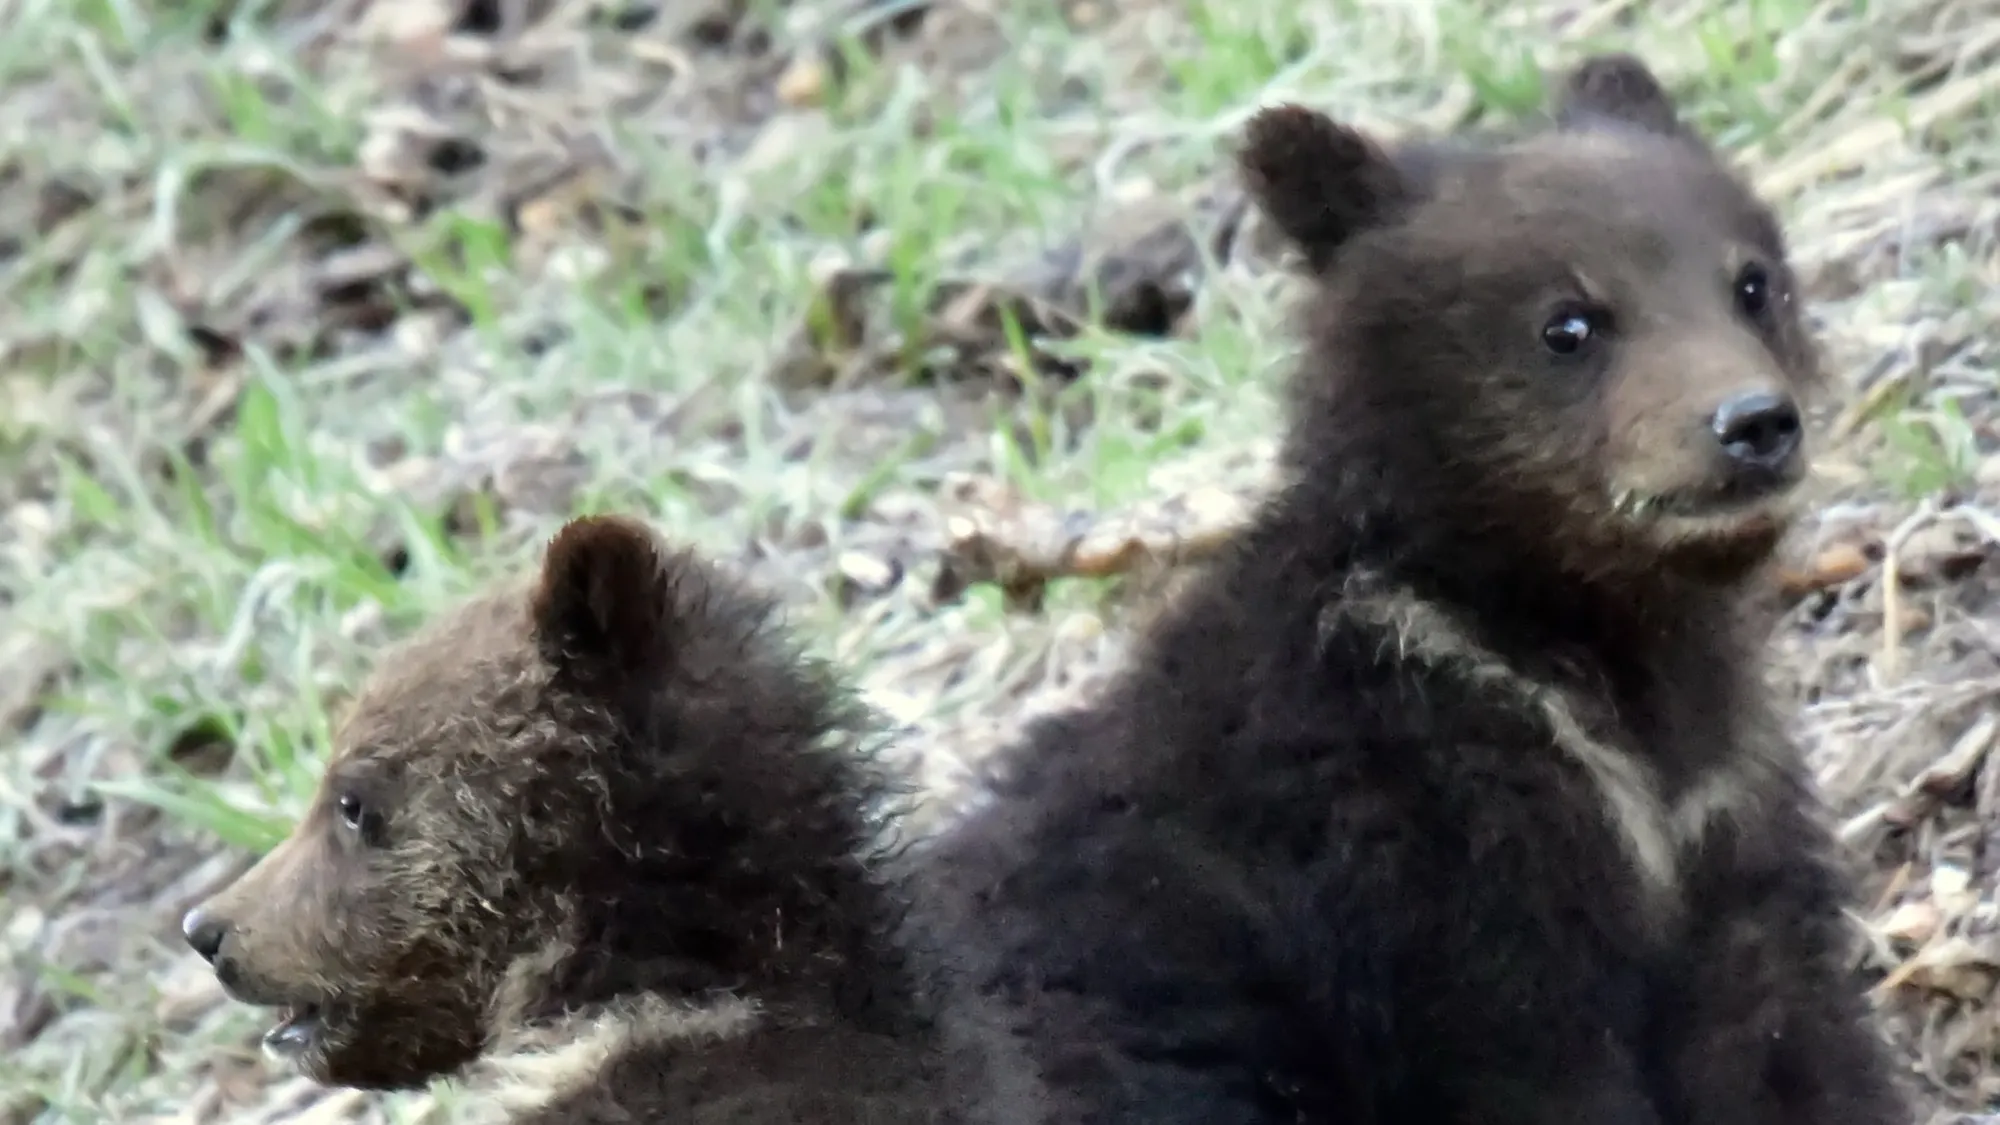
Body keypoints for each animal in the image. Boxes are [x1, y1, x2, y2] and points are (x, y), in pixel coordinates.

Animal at [907, 52, 1911, 1125]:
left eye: (1753, 283)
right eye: (1569, 322)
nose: (1754, 423)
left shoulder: (1719, 816)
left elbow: (1783, 1028)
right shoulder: (1418, 839)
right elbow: (1530, 1055)